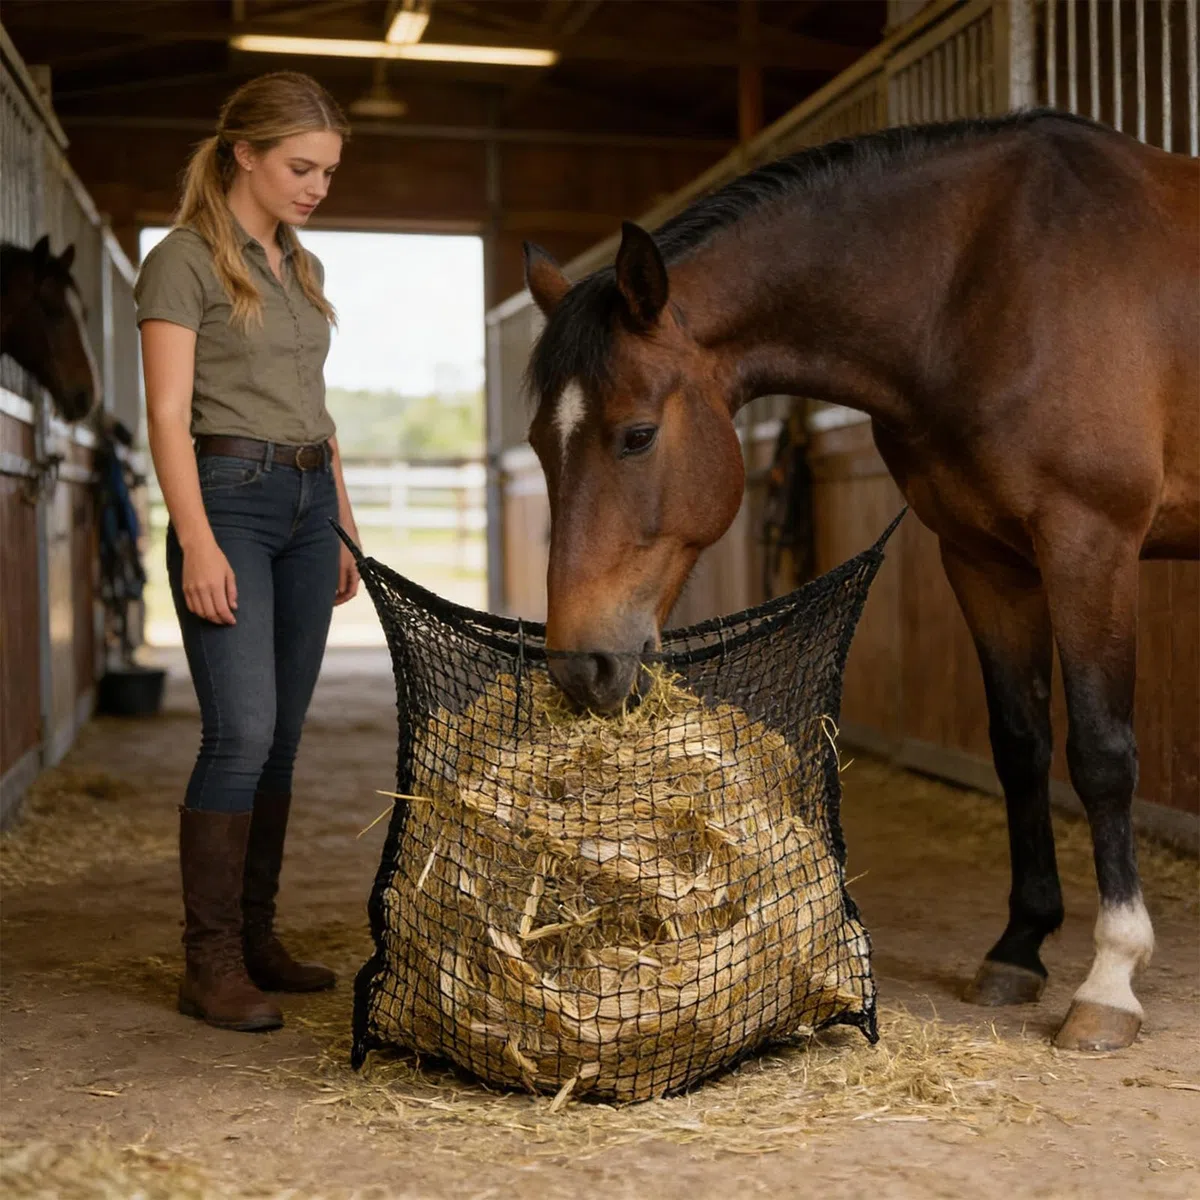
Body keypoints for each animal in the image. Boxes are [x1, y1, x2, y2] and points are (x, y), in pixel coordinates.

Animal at [521, 110, 1199, 1055]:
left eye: (638, 435)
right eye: (540, 446)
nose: (580, 667)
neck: (989, 283)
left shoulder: (1088, 544)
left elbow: (1100, 755)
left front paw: (1110, 979)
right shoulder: (983, 558)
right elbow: (1020, 744)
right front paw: (1019, 948)